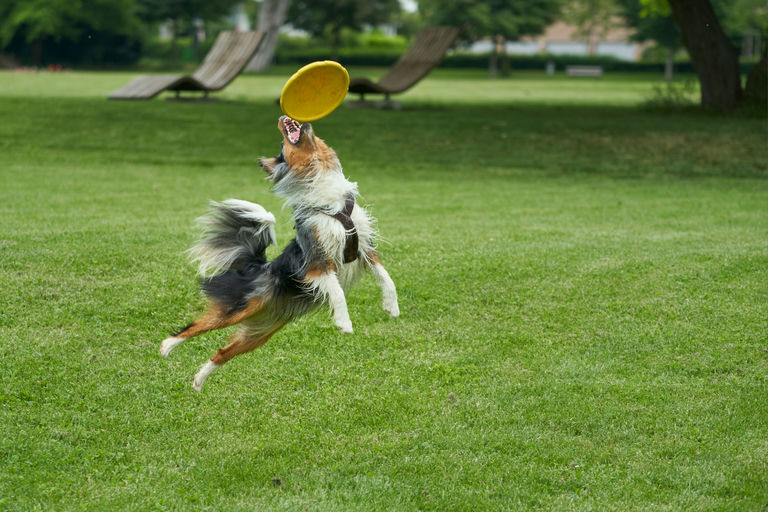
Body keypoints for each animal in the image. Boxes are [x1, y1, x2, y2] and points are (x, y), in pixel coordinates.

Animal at [159, 114, 400, 390]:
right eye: (282, 147)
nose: (289, 118)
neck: (331, 201)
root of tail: (258, 266)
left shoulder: (365, 249)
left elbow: (387, 278)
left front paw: (392, 307)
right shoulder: (318, 262)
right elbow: (338, 293)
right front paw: (344, 323)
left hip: (260, 332)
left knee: (222, 352)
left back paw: (199, 380)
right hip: (242, 306)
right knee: (199, 324)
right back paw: (167, 346)